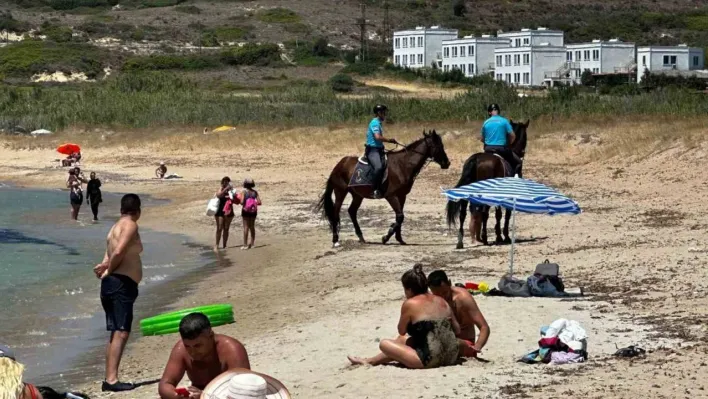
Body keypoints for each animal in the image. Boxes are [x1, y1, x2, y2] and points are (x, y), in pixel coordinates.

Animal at [318, 131, 450, 248]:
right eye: (439, 146)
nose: (447, 163)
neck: (402, 165)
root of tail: (339, 164)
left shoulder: (402, 196)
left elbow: (399, 217)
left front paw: (399, 238)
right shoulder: (391, 196)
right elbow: (400, 216)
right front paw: (386, 237)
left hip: (357, 195)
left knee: (352, 211)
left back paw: (361, 237)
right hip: (340, 192)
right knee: (336, 213)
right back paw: (335, 240)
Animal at [446, 119, 528, 250]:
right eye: (525, 137)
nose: (522, 153)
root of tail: (476, 159)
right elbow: (504, 214)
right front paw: (503, 236)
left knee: (464, 213)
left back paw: (461, 241)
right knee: (484, 213)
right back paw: (484, 238)